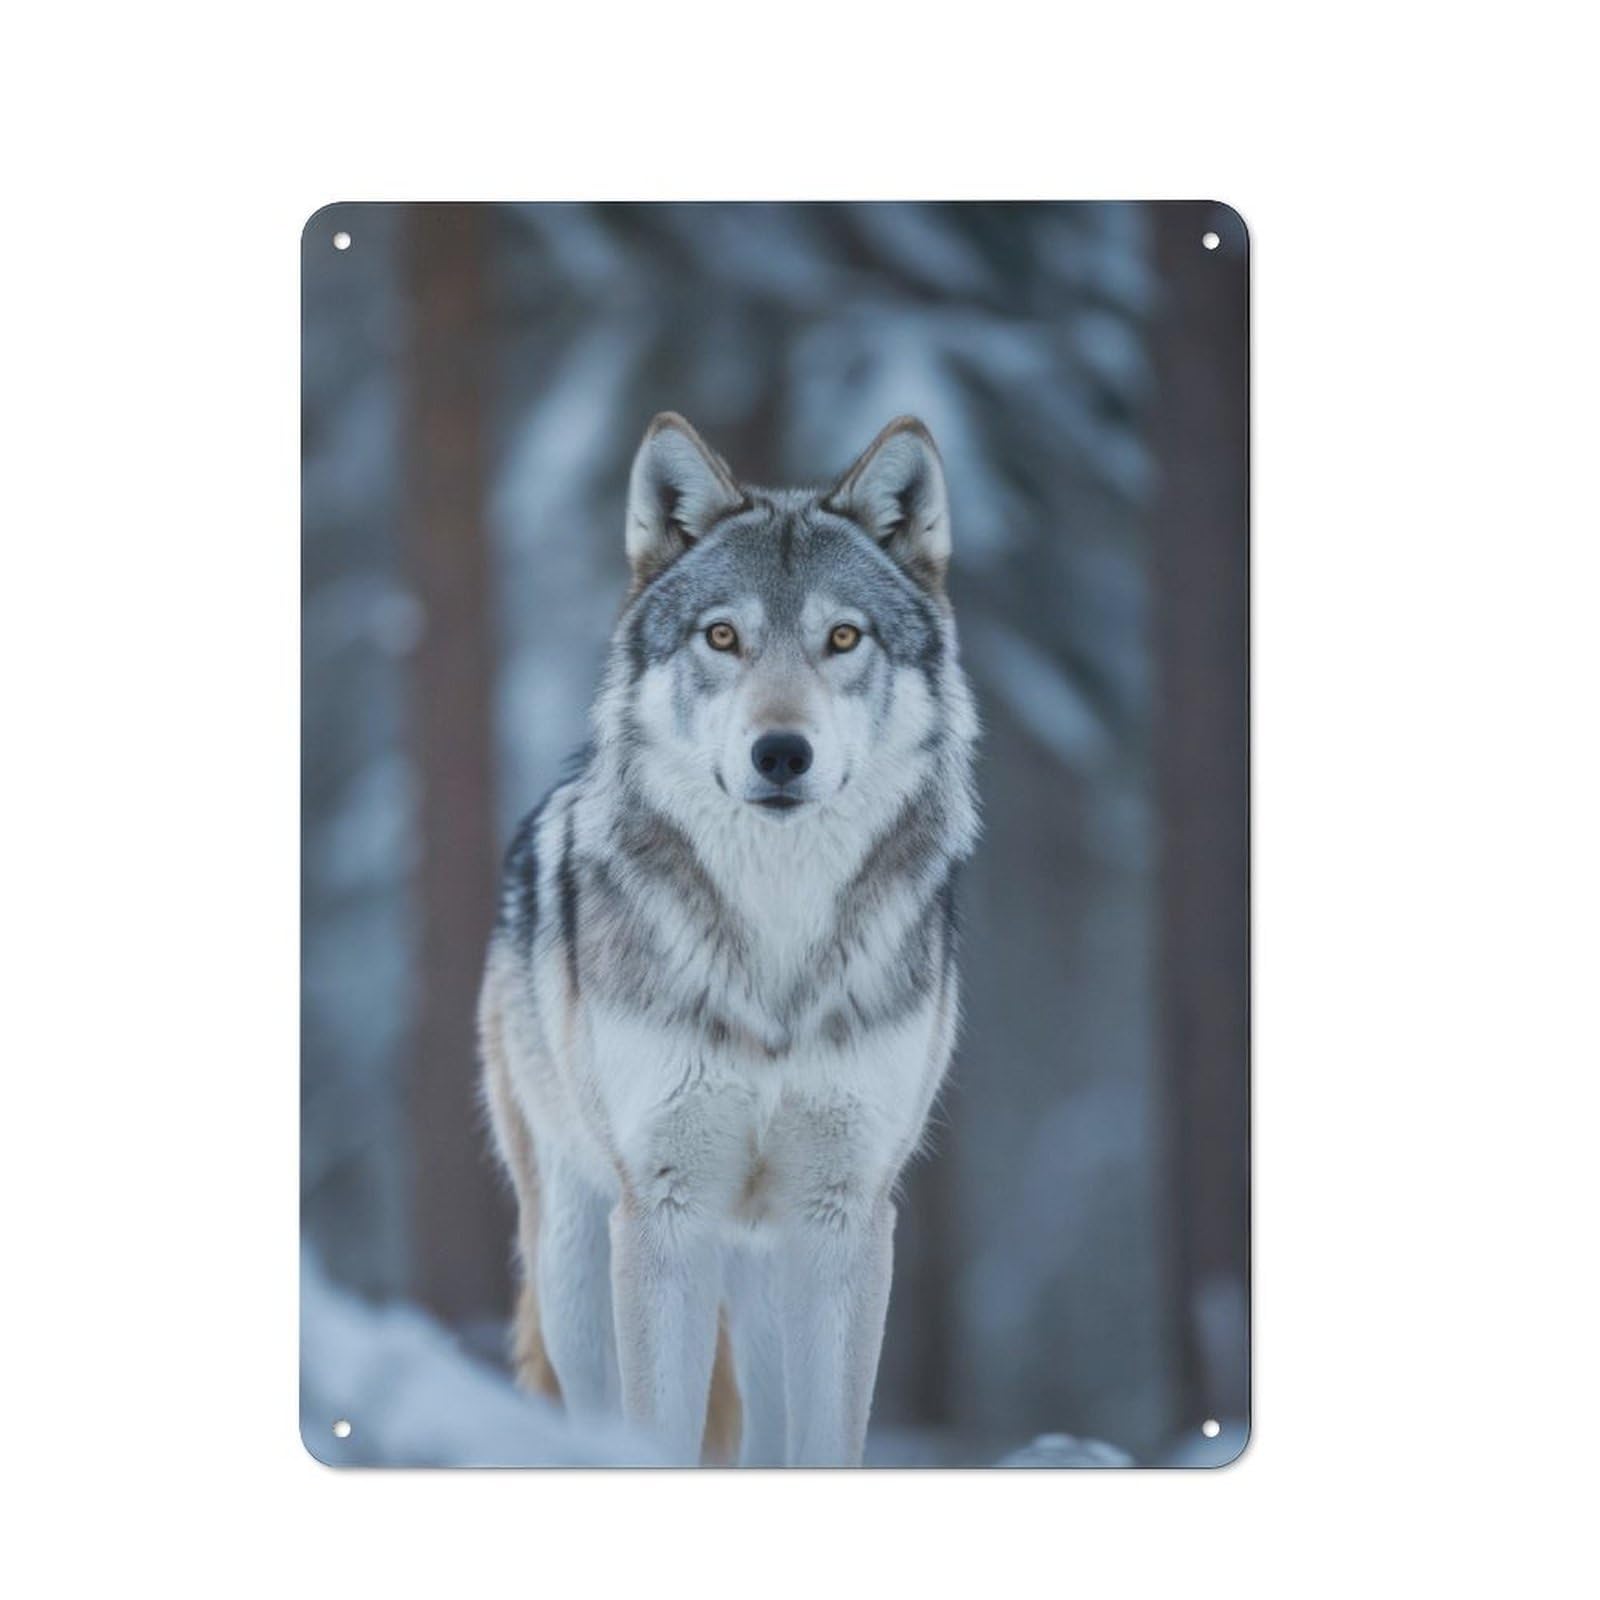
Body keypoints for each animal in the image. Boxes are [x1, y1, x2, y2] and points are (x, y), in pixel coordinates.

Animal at [478, 413, 979, 1466]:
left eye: (843, 637)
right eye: (722, 635)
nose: (780, 753)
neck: (776, 935)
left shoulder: (844, 1217)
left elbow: (829, 1447)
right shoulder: (664, 1211)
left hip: (762, 1280)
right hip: (578, 1260)